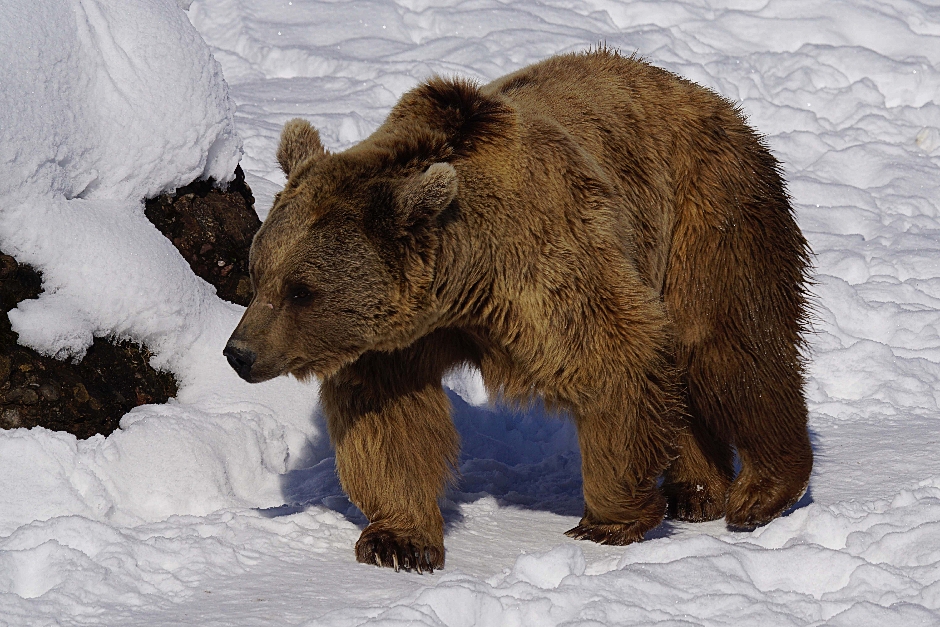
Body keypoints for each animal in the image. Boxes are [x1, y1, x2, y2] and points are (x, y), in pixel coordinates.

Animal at [224, 50, 812, 576]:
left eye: (301, 291)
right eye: (258, 273)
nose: (239, 353)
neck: (461, 280)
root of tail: (705, 96)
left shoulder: (544, 264)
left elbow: (615, 358)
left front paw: (607, 521)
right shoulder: (400, 337)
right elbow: (389, 418)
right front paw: (398, 542)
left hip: (706, 215)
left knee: (727, 347)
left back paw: (762, 491)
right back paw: (695, 490)